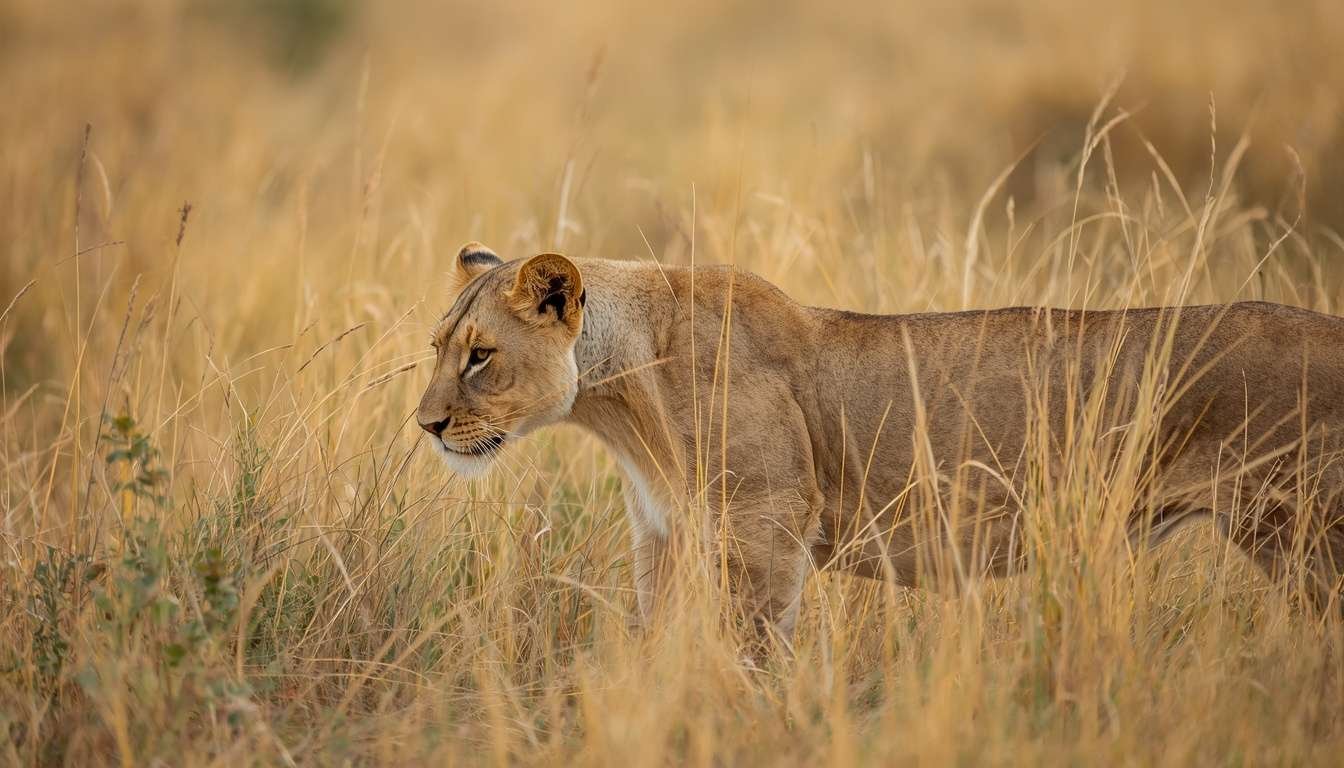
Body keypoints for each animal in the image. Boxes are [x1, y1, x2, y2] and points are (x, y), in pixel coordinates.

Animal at [417, 242, 1344, 641]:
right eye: (437, 347)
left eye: (481, 356)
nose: (425, 425)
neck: (620, 397)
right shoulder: (664, 534)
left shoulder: (766, 529)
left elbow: (751, 649)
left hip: (1304, 533)